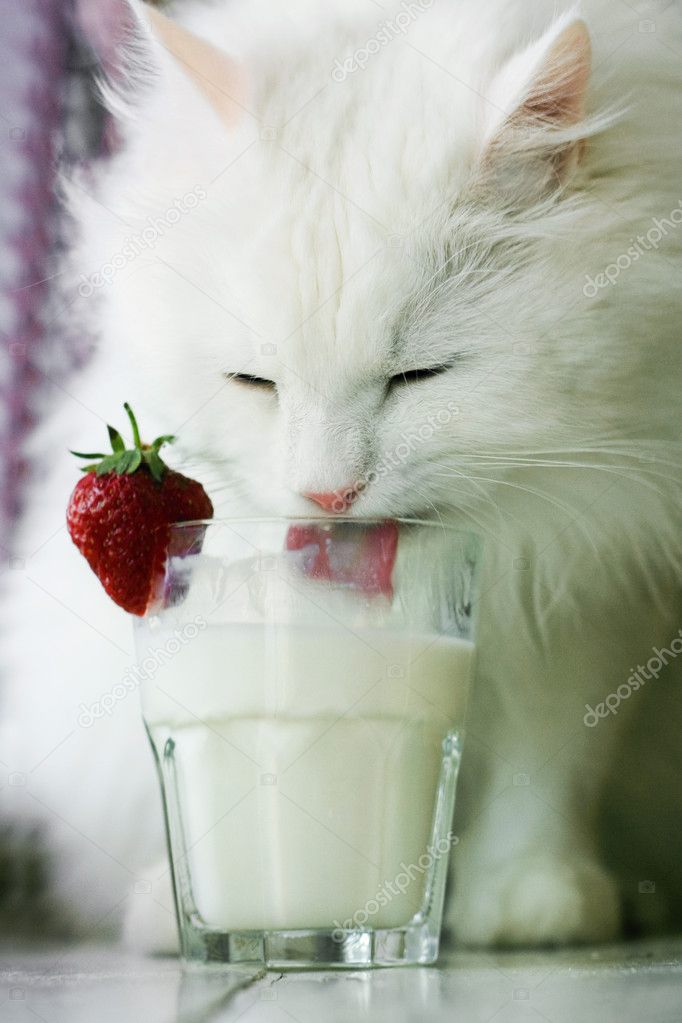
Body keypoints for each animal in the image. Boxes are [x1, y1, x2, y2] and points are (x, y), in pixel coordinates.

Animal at [1, 0, 682, 945]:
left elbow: (550, 764)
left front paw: (528, 896)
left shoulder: (597, 590)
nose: (329, 492)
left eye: (419, 376)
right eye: (254, 381)